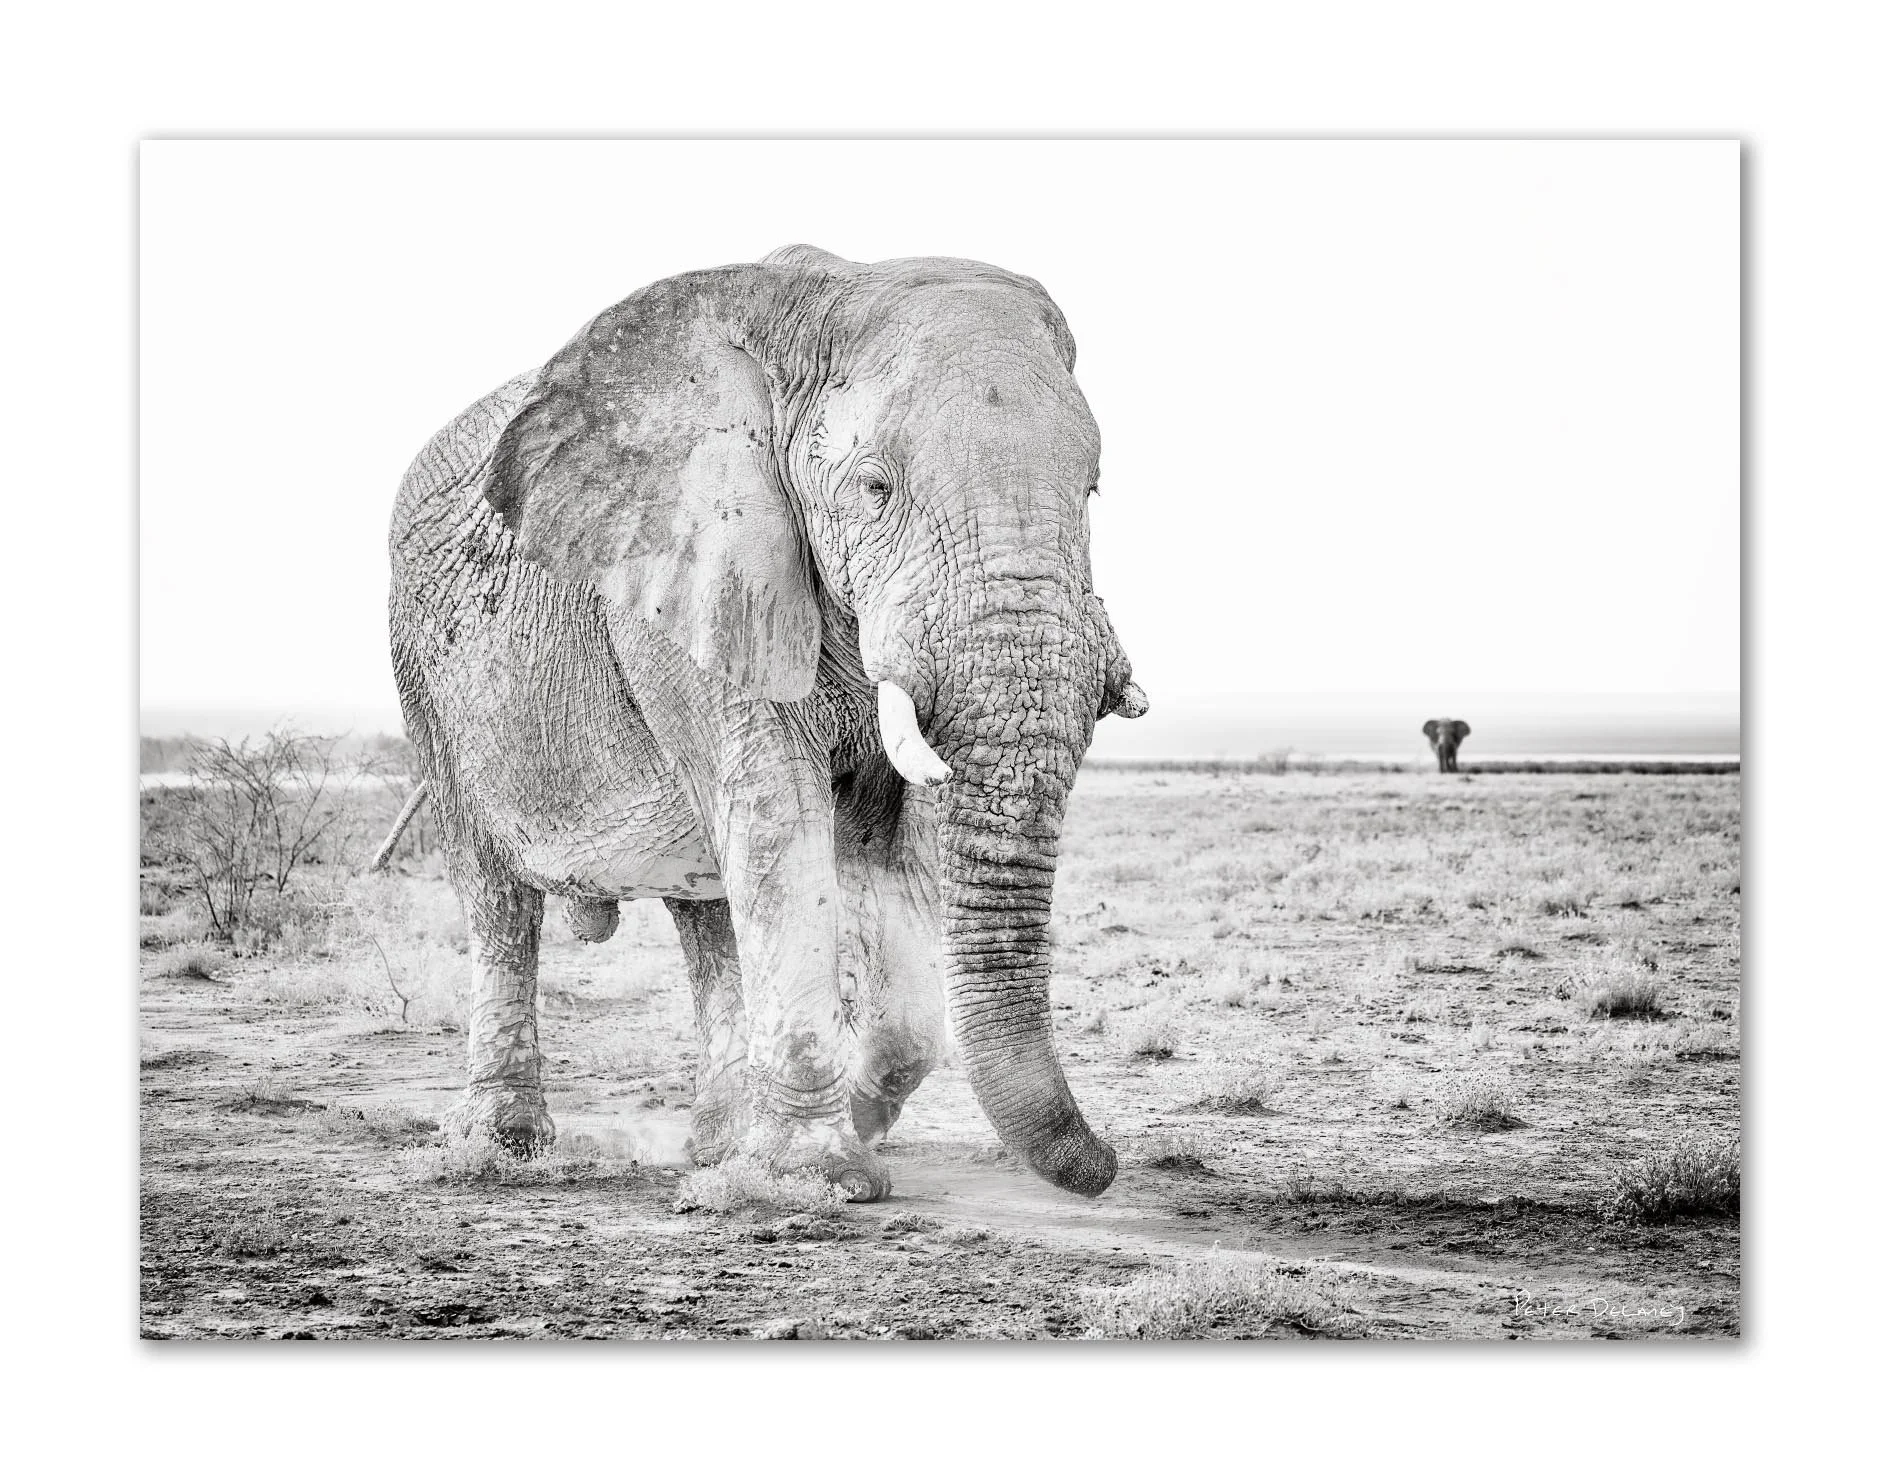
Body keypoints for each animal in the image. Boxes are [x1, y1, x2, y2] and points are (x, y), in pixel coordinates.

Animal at [385, 245, 1148, 1203]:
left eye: (1092, 491)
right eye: (874, 488)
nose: (1108, 1166)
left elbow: (890, 849)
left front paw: (830, 1136)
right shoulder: (691, 578)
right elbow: (779, 817)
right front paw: (818, 1179)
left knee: (706, 911)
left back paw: (716, 1144)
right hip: (426, 680)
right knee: (497, 901)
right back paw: (501, 1147)